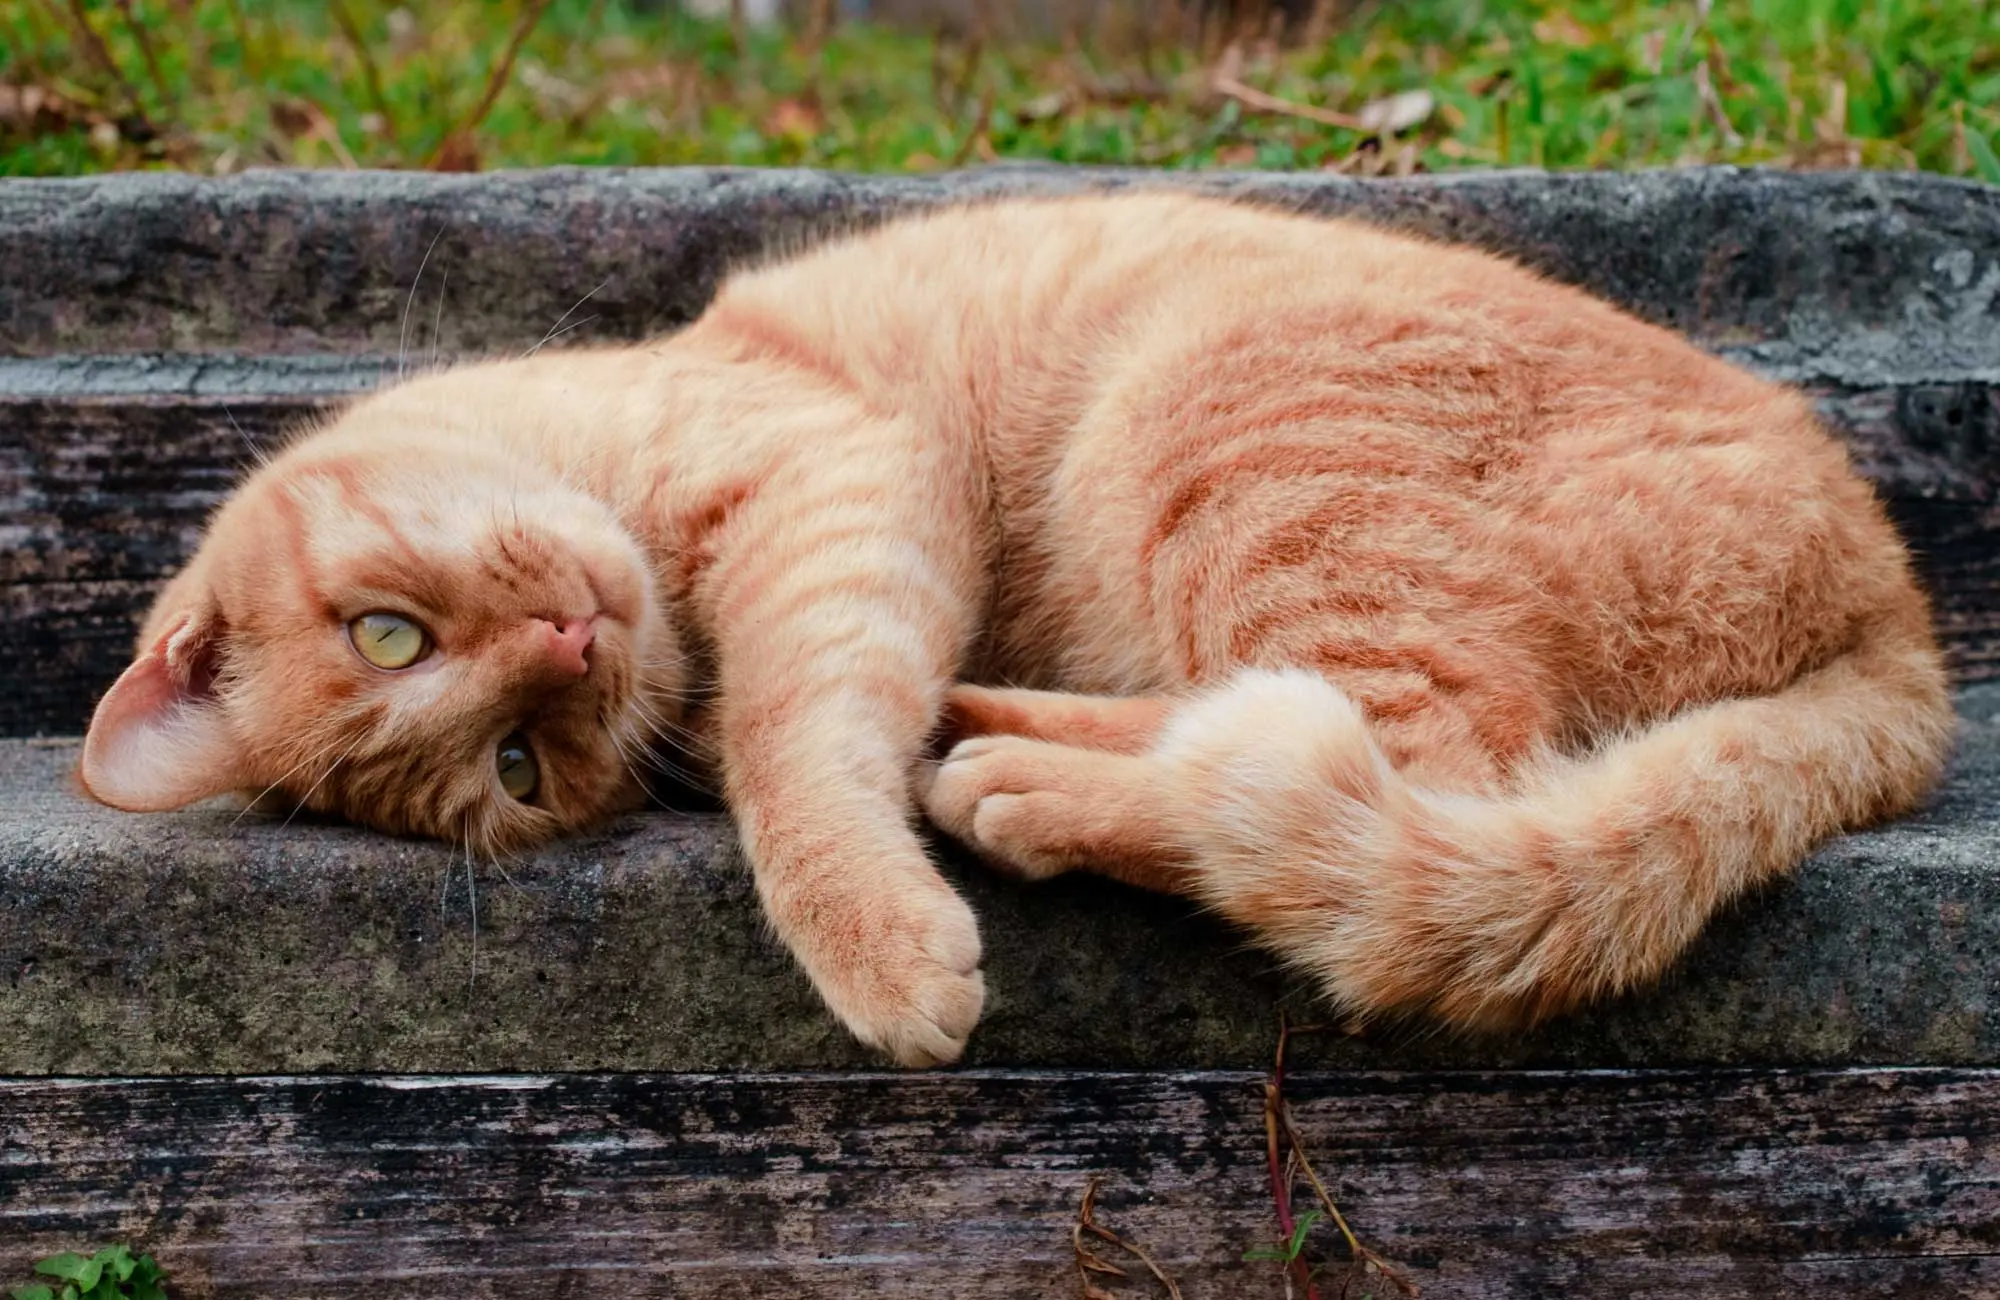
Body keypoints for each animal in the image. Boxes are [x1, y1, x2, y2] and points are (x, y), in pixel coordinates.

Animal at [74, 192, 1952, 1064]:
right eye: (520, 771)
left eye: (386, 633)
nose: (565, 652)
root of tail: (1905, 614)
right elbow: (788, 737)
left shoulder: (840, 488)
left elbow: (792, 752)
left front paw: (878, 942)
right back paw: (1007, 740)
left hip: (1218, 429)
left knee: (1427, 776)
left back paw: (1023, 780)